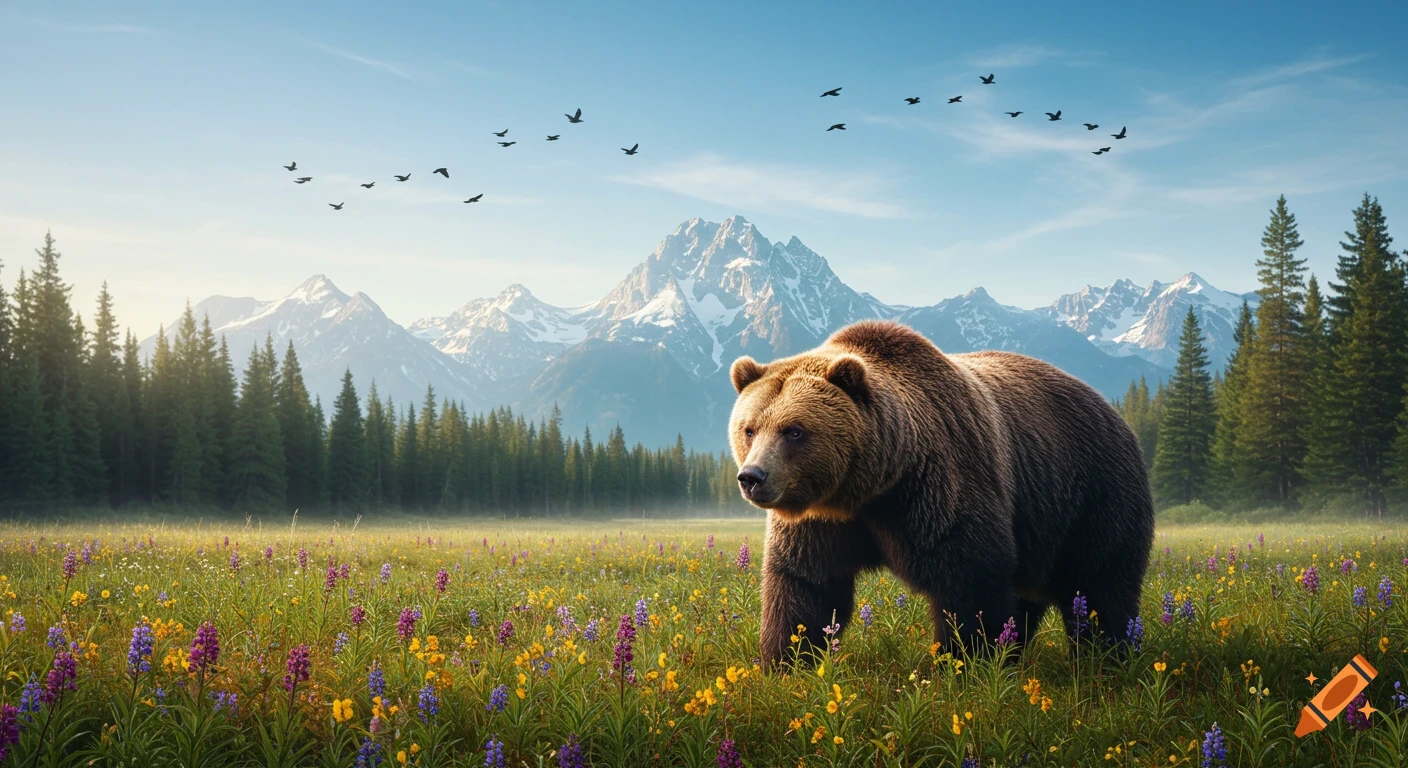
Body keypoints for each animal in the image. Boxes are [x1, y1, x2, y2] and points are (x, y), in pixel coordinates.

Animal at [727, 319, 1155, 667]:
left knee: (1102, 586)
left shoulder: (938, 486)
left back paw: (1109, 655)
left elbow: (969, 579)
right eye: (749, 428)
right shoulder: (822, 522)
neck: (869, 488)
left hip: (1094, 494)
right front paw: (786, 661)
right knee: (1030, 598)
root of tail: (1115, 413)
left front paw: (963, 662)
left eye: (794, 430)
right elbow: (804, 586)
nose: (752, 477)